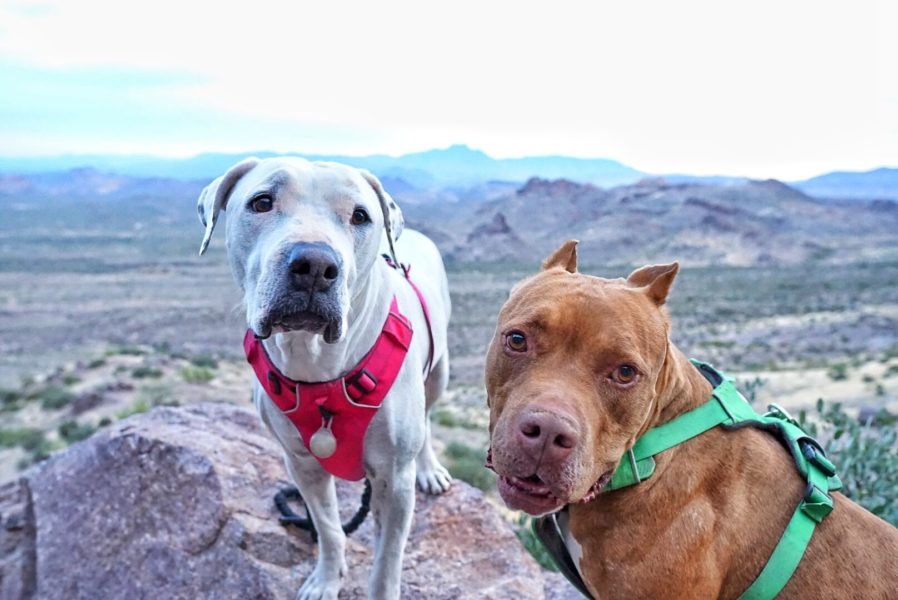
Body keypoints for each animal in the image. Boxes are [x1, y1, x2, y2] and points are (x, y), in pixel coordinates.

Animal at [195, 157, 448, 596]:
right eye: (262, 202)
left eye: (360, 215)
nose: (314, 265)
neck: (316, 365)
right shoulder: (302, 465)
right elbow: (329, 529)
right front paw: (326, 580)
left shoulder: (394, 482)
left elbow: (386, 563)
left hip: (439, 373)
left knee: (429, 418)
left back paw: (430, 468)